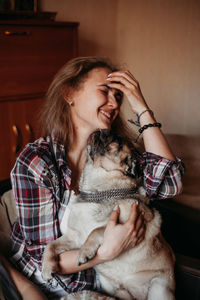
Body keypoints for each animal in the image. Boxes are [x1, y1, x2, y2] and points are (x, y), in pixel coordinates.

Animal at [42, 129, 175, 300]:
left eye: (117, 142)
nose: (102, 130)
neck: (97, 192)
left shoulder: (127, 223)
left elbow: (97, 230)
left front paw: (84, 252)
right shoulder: (74, 237)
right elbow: (50, 245)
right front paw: (47, 267)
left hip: (160, 289)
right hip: (114, 289)